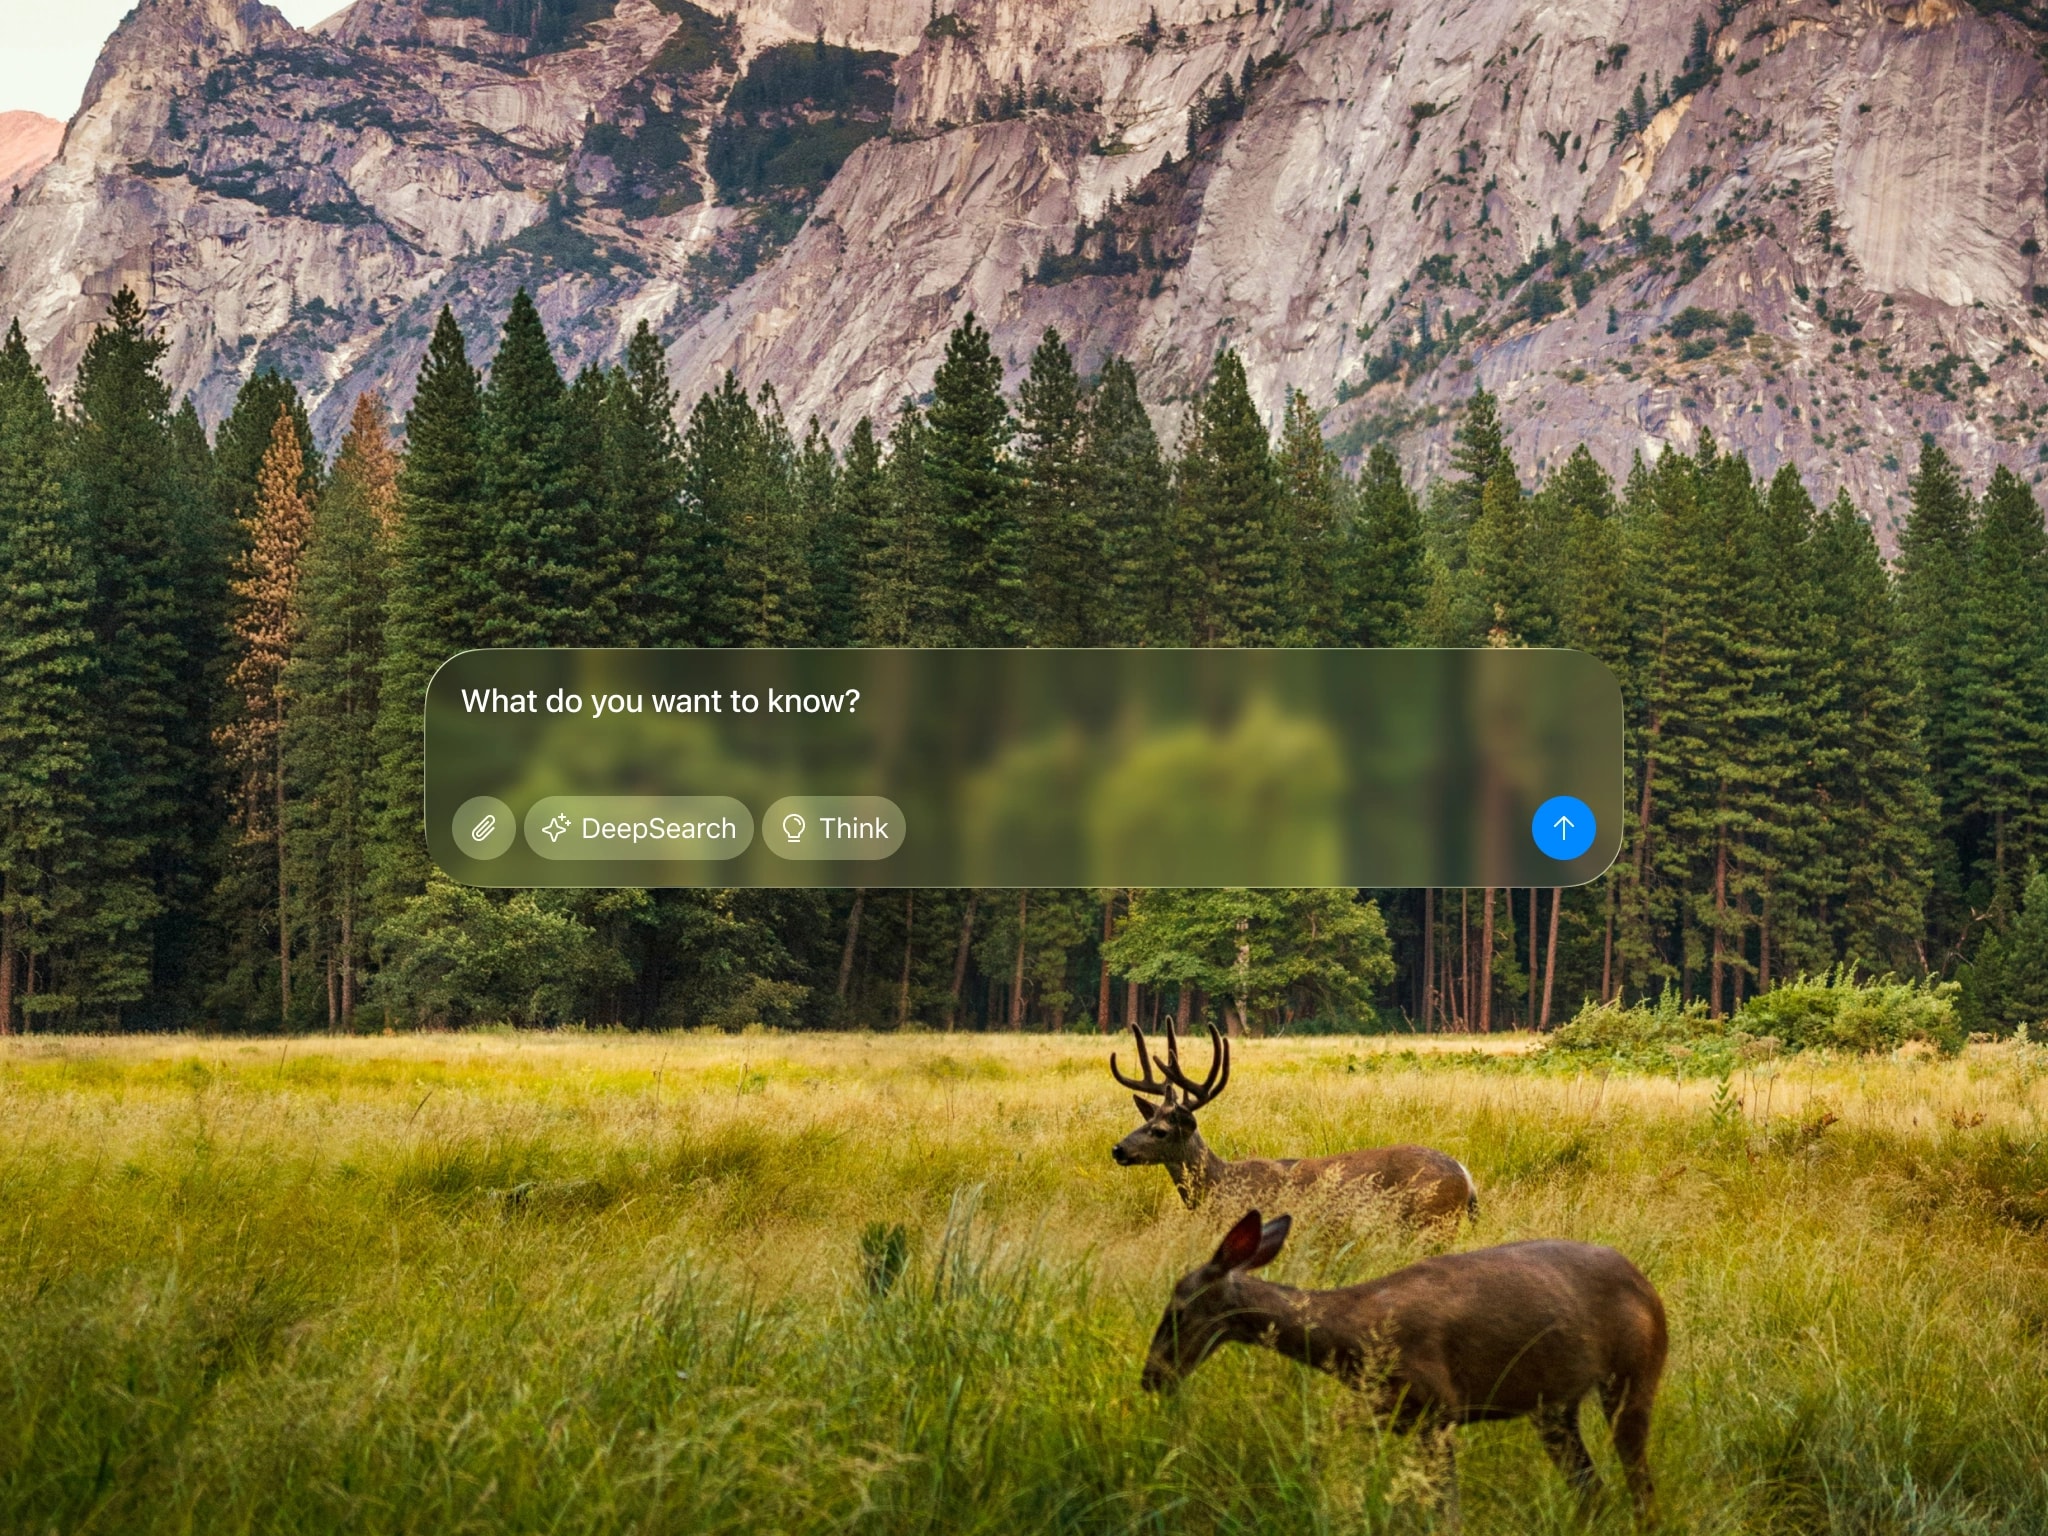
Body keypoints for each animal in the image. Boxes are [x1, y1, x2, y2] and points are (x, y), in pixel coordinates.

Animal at [1109, 1019, 1477, 1227]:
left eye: (1160, 1131)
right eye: (1145, 1120)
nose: (1118, 1149)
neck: (1220, 1185)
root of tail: (1466, 1175)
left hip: (1434, 1221)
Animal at [1143, 1210, 1667, 1526]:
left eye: (1177, 1311)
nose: (1151, 1377)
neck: (1353, 1336)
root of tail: (1648, 1288)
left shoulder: (1438, 1408)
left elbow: (1447, 1511)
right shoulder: (1386, 1411)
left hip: (1634, 1376)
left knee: (1640, 1487)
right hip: (1554, 1407)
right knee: (1592, 1487)